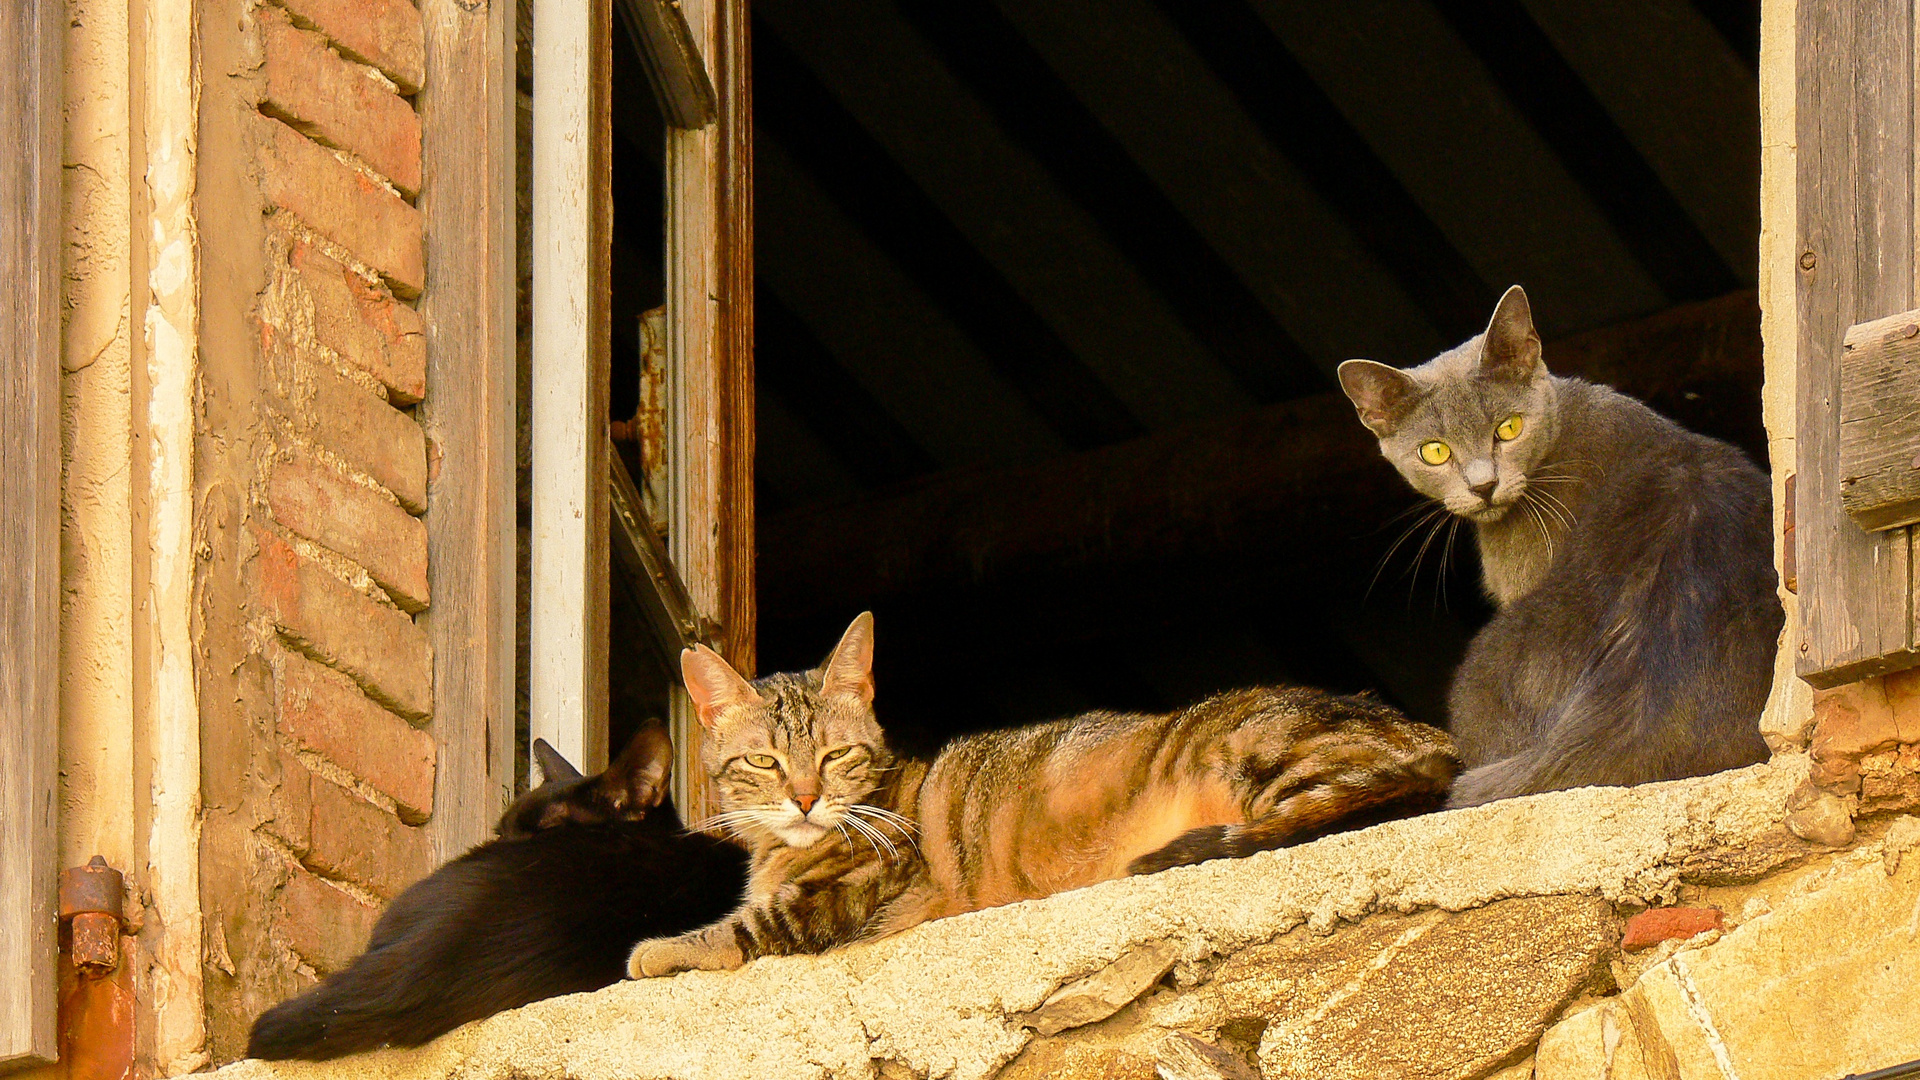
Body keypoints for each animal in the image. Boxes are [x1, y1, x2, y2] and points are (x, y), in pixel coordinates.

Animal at [622, 614, 1443, 976]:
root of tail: (1424, 732)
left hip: (1254, 752)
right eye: (763, 762)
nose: (802, 800)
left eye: (835, 756)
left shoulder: (845, 898)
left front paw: (654, 951)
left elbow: (739, 930)